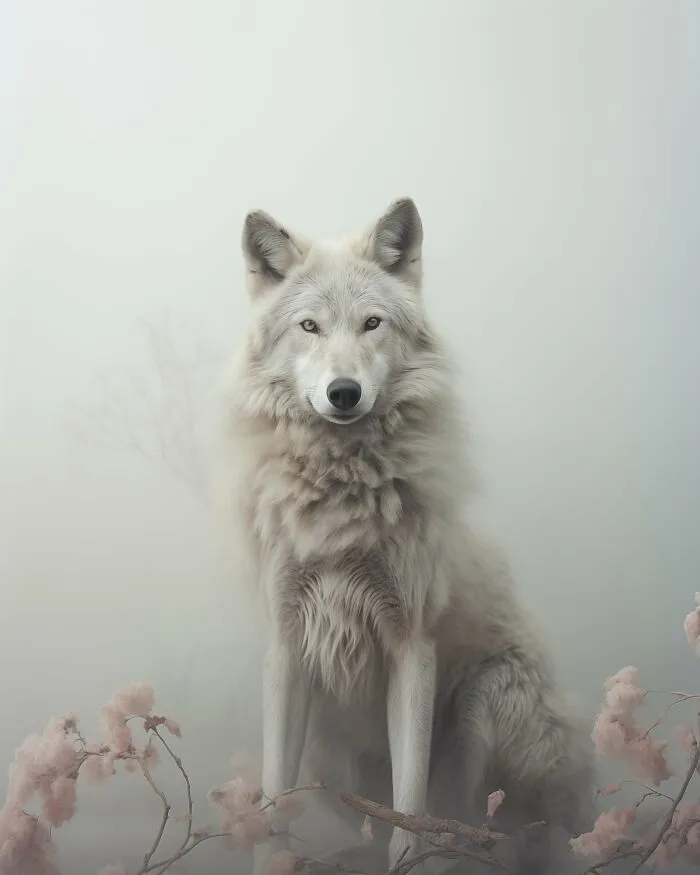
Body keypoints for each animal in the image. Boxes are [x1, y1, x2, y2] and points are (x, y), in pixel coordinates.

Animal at [224, 198, 594, 874]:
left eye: (372, 324)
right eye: (310, 327)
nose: (344, 393)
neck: (342, 508)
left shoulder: (413, 647)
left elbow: (410, 808)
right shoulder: (286, 650)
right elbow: (273, 803)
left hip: (485, 707)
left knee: (485, 832)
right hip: (328, 748)